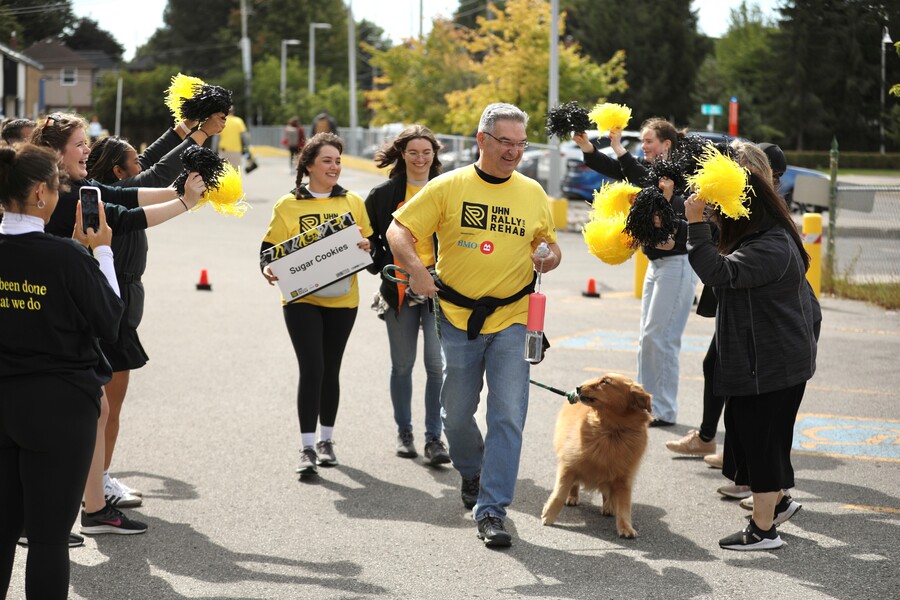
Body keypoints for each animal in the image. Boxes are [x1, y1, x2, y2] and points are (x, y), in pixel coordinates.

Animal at [540, 376, 648, 540]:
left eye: (606, 382)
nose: (578, 388)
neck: (611, 430)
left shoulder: (624, 477)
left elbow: (624, 506)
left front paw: (625, 527)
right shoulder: (568, 465)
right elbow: (559, 493)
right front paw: (549, 515)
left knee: (607, 492)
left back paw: (608, 506)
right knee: (574, 485)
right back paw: (572, 497)